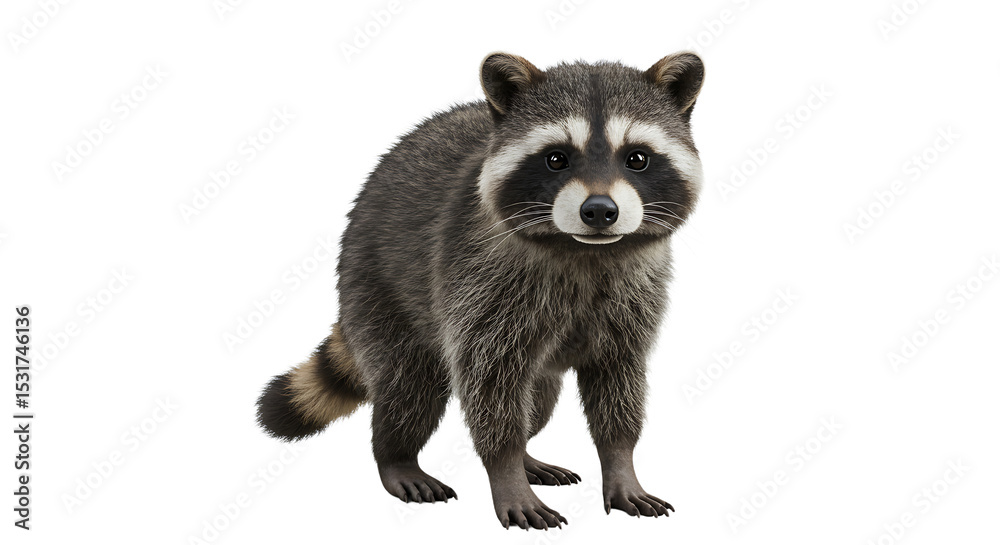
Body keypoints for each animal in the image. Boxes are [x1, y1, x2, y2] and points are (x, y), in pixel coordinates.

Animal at [257, 51, 705, 529]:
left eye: (637, 158)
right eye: (556, 159)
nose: (600, 211)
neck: (583, 250)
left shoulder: (635, 296)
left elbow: (618, 381)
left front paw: (620, 463)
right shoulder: (476, 280)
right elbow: (488, 384)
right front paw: (505, 469)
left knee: (537, 401)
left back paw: (527, 455)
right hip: (374, 283)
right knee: (408, 387)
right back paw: (396, 456)